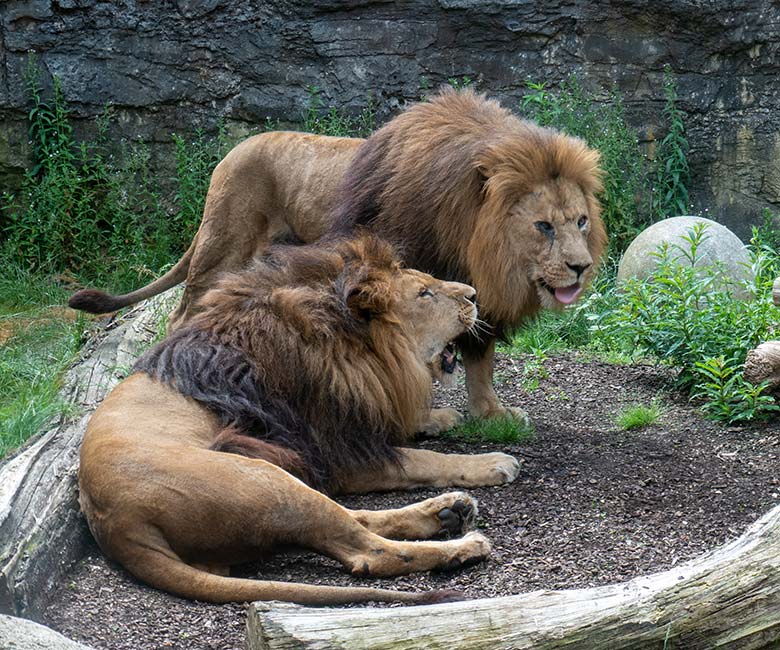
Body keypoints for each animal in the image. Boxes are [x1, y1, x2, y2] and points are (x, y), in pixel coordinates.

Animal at [70, 87, 608, 430]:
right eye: (543, 226)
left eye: (581, 221)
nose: (580, 268)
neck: (476, 246)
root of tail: (231, 152)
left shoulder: (475, 296)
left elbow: (479, 357)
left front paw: (490, 413)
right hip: (222, 242)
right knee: (181, 313)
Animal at [79, 234, 520, 604]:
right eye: (425, 293)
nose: (474, 294)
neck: (357, 351)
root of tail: (119, 525)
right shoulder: (335, 453)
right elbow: (422, 460)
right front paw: (490, 462)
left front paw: (439, 417)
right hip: (265, 479)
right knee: (368, 551)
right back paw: (461, 546)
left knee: (355, 518)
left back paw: (447, 512)